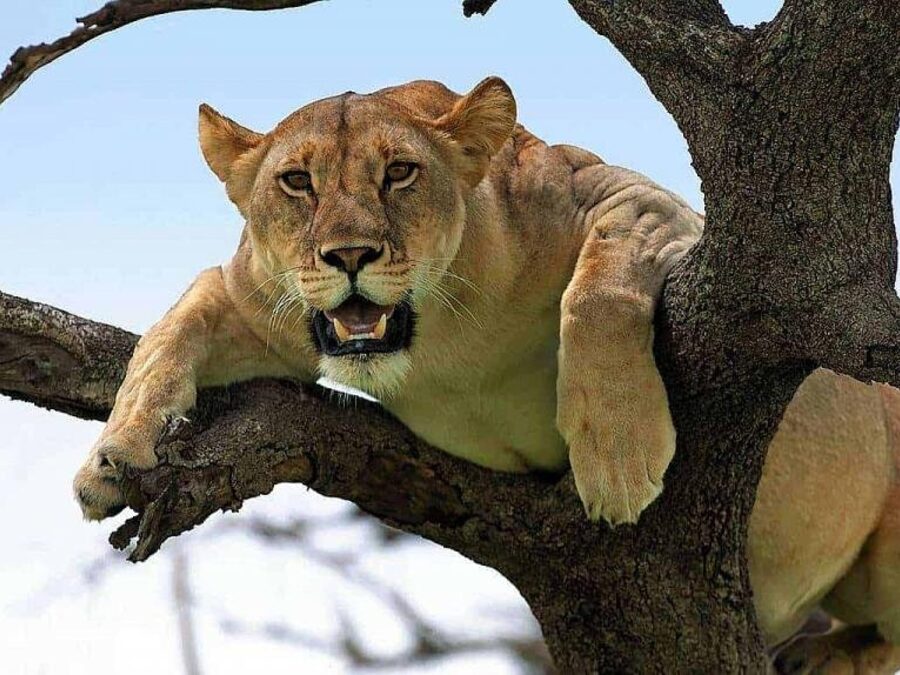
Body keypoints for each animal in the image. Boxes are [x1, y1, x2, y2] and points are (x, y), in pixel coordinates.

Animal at [73, 77, 900, 671]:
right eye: (297, 181)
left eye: (400, 172)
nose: (349, 254)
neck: (442, 338)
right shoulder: (250, 296)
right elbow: (167, 335)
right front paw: (111, 461)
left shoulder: (638, 202)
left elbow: (596, 289)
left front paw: (617, 456)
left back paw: (827, 656)